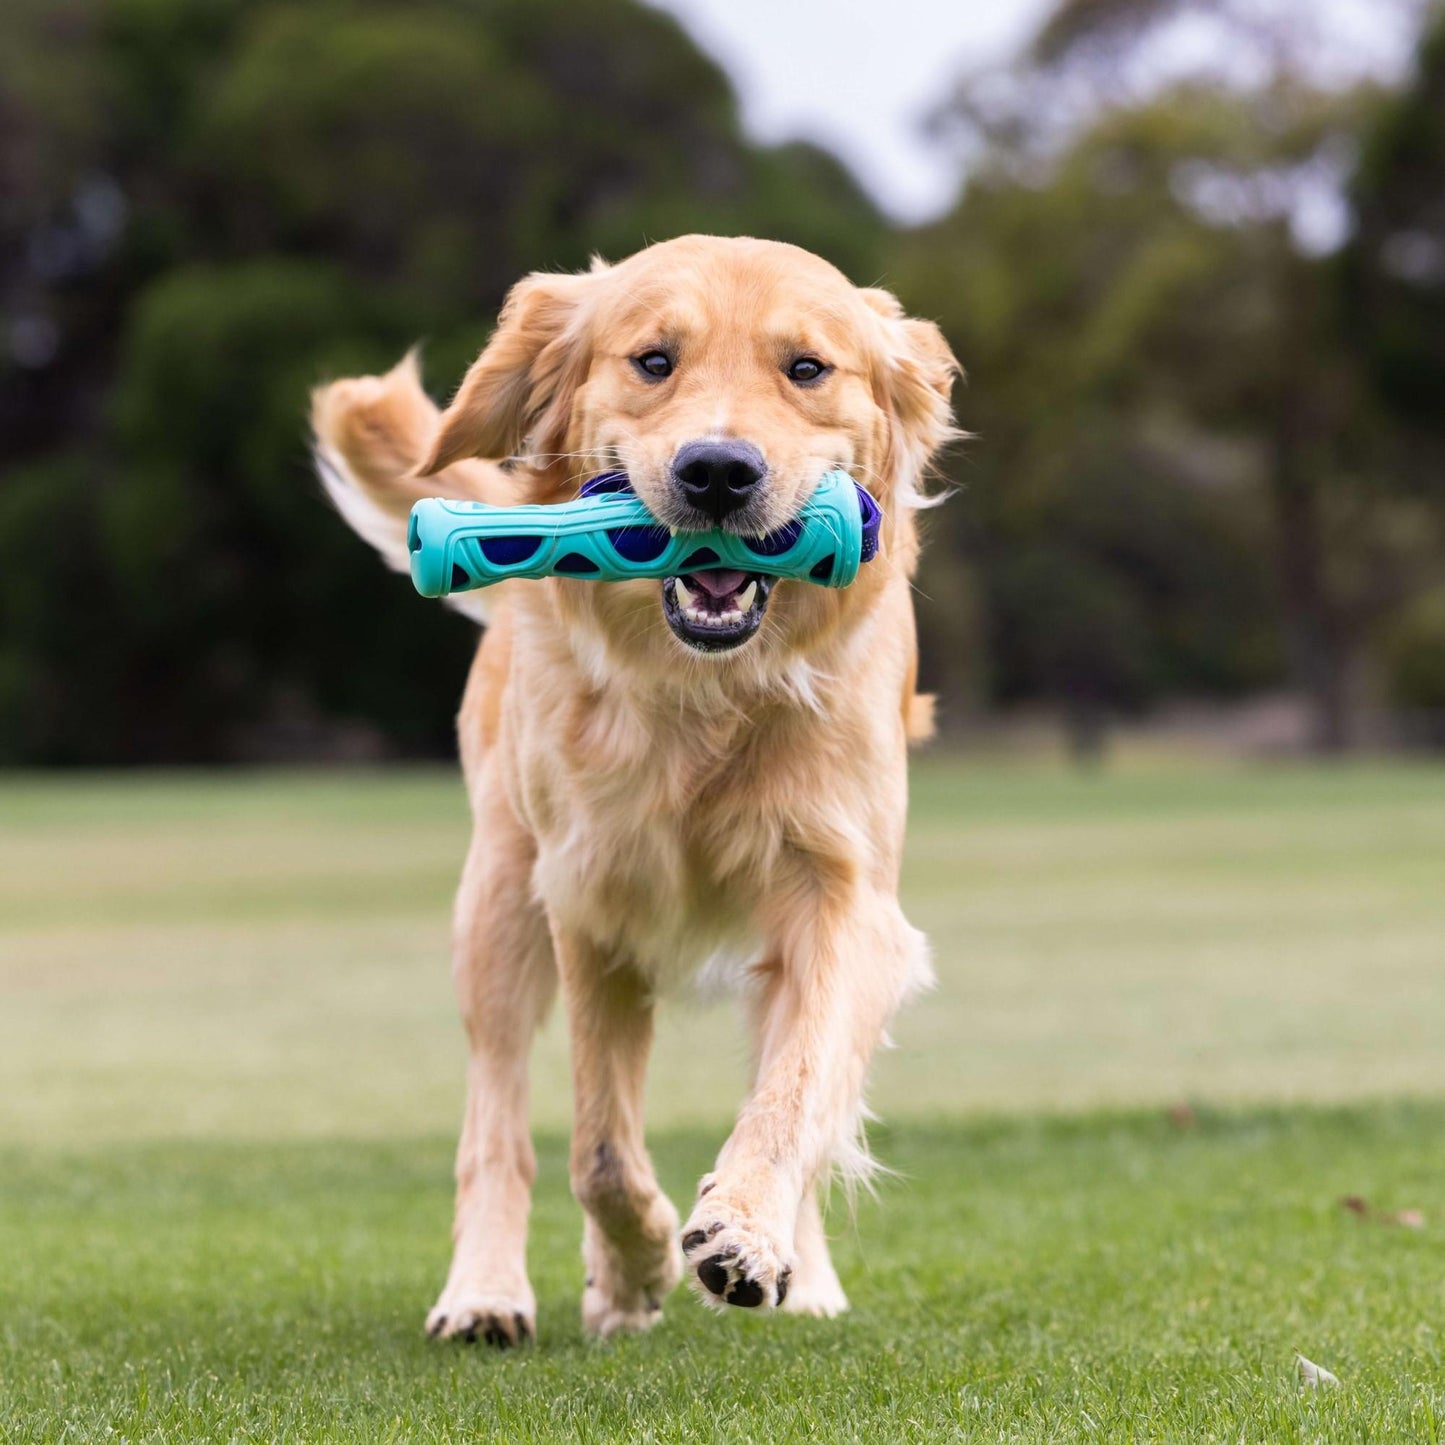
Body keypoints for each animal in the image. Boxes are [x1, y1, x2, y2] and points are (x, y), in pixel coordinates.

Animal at [310, 236, 959, 1340]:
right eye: (653, 361)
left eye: (807, 368)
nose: (717, 470)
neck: (703, 693)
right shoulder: (591, 899)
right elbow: (599, 1147)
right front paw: (634, 1264)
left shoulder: (842, 894)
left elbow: (795, 1090)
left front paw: (743, 1233)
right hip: (497, 898)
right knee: (496, 1119)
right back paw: (488, 1291)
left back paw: (800, 1276)